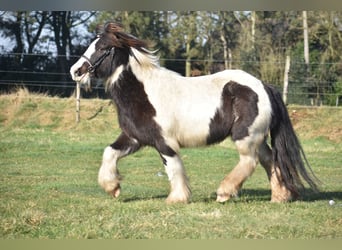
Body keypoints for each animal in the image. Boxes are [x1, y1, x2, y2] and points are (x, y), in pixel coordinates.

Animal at [69, 22, 318, 204]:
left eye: (103, 48)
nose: (76, 71)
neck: (144, 92)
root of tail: (263, 86)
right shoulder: (134, 138)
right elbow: (109, 153)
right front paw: (113, 187)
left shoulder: (164, 142)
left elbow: (173, 168)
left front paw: (177, 198)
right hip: (256, 137)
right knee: (269, 160)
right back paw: (279, 196)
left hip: (245, 137)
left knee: (250, 161)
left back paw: (224, 193)